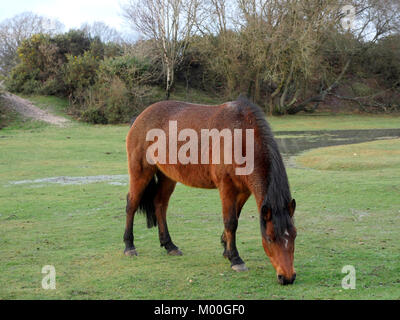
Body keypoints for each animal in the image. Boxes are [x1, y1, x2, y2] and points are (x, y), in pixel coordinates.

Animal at [124, 95, 296, 284]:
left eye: (294, 235)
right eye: (270, 238)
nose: (288, 278)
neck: (241, 136)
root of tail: (140, 117)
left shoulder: (244, 190)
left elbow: (235, 217)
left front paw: (226, 250)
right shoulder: (227, 187)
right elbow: (230, 221)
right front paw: (235, 259)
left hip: (167, 176)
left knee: (160, 205)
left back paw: (170, 245)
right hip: (141, 172)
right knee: (131, 204)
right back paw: (129, 246)